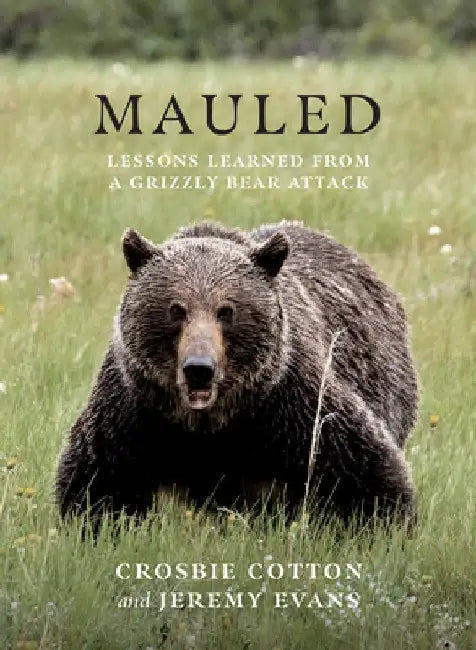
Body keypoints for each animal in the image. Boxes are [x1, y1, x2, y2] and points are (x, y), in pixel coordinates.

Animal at [56, 220, 418, 528]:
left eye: (226, 310)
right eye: (176, 309)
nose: (199, 369)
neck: (211, 423)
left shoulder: (293, 402)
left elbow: (364, 469)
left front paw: (385, 524)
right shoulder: (133, 410)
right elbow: (97, 481)